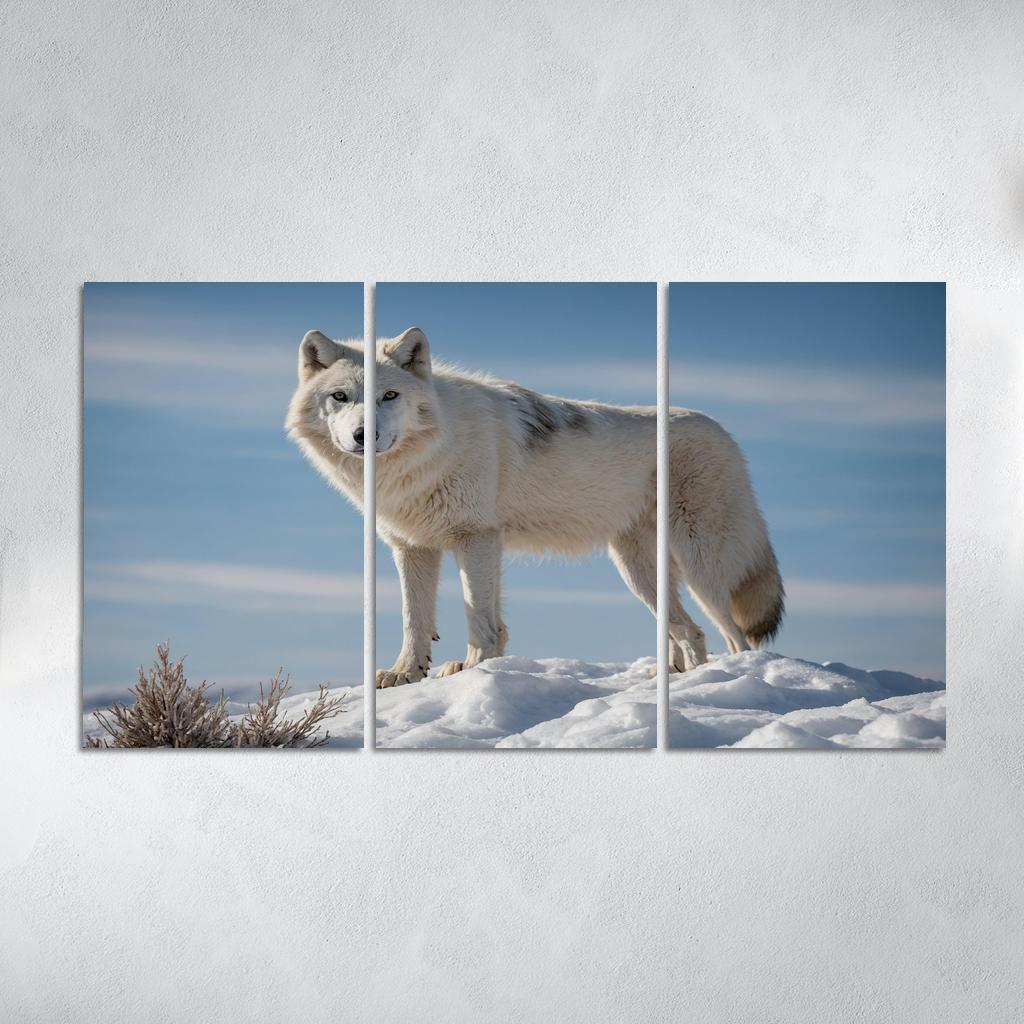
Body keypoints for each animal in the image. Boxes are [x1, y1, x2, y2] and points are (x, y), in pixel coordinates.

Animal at [286, 326, 784, 688]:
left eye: (389, 396)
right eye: (340, 397)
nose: (362, 435)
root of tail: (725, 432)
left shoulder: (475, 538)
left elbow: (478, 615)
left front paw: (474, 667)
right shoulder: (414, 547)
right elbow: (416, 620)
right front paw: (406, 674)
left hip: (700, 565)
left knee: (734, 636)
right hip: (637, 571)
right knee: (689, 631)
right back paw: (676, 681)